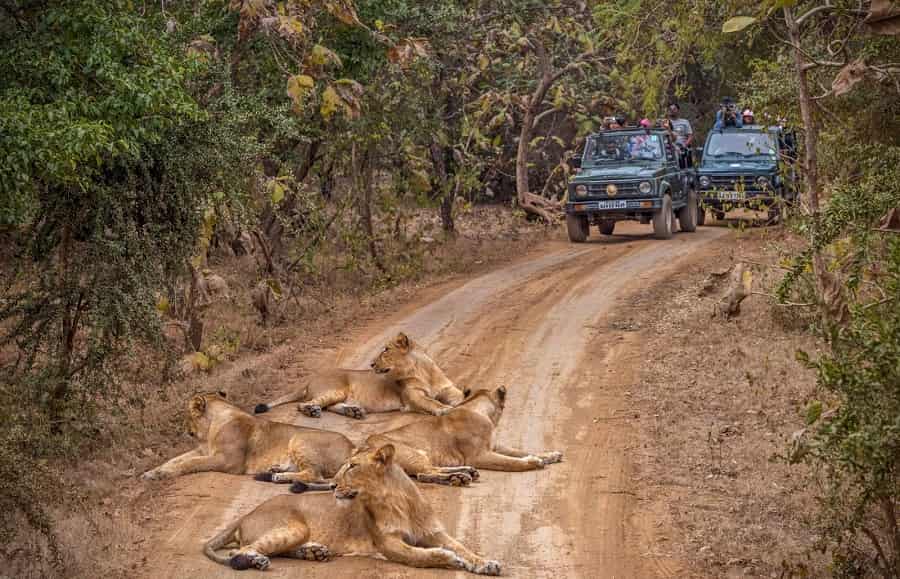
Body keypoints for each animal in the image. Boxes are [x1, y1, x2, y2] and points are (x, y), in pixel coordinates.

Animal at [141, 391, 352, 487]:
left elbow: (190, 463)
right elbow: (174, 460)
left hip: (299, 438)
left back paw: (277, 476)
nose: (184, 430)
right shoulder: (202, 450)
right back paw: (276, 470)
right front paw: (151, 473)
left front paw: (162, 474)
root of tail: (353, 447)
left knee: (314, 475)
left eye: (187, 415)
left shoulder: (226, 461)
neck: (211, 428)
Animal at [203, 444, 501, 575]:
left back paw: (314, 552)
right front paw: (450, 559)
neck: (395, 500)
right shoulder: (388, 544)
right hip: (293, 527)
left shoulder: (435, 532)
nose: (333, 484)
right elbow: (423, 556)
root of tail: (246, 513)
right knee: (239, 552)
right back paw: (257, 561)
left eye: (353, 466)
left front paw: (485, 563)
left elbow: (464, 548)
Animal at [253, 332, 466, 420]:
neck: (421, 371)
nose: (371, 364)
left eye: (386, 350)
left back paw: (353, 411)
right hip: (336, 389)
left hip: (338, 395)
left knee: (328, 405)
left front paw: (464, 400)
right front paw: (444, 409)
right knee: (305, 404)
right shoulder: (412, 396)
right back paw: (313, 411)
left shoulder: (448, 388)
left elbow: (460, 396)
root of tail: (310, 379)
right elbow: (431, 402)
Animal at [360, 386, 563, 486]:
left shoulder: (494, 446)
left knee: (428, 472)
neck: (476, 407)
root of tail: (358, 450)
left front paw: (550, 455)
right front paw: (534, 462)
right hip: (411, 453)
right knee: (425, 473)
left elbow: (520, 451)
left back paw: (466, 473)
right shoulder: (480, 455)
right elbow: (511, 462)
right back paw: (459, 478)